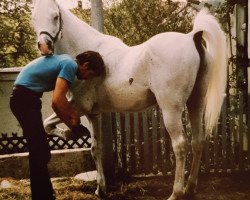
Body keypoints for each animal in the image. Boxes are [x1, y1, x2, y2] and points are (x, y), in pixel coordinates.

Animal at [30, 0, 227, 199]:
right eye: (34, 18)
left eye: (55, 16)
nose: (44, 46)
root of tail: (191, 37)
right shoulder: (94, 114)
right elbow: (95, 148)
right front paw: (100, 189)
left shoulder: (79, 106)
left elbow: (48, 124)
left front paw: (71, 133)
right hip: (196, 103)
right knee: (198, 141)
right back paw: (190, 188)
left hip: (171, 109)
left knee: (180, 145)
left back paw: (176, 193)